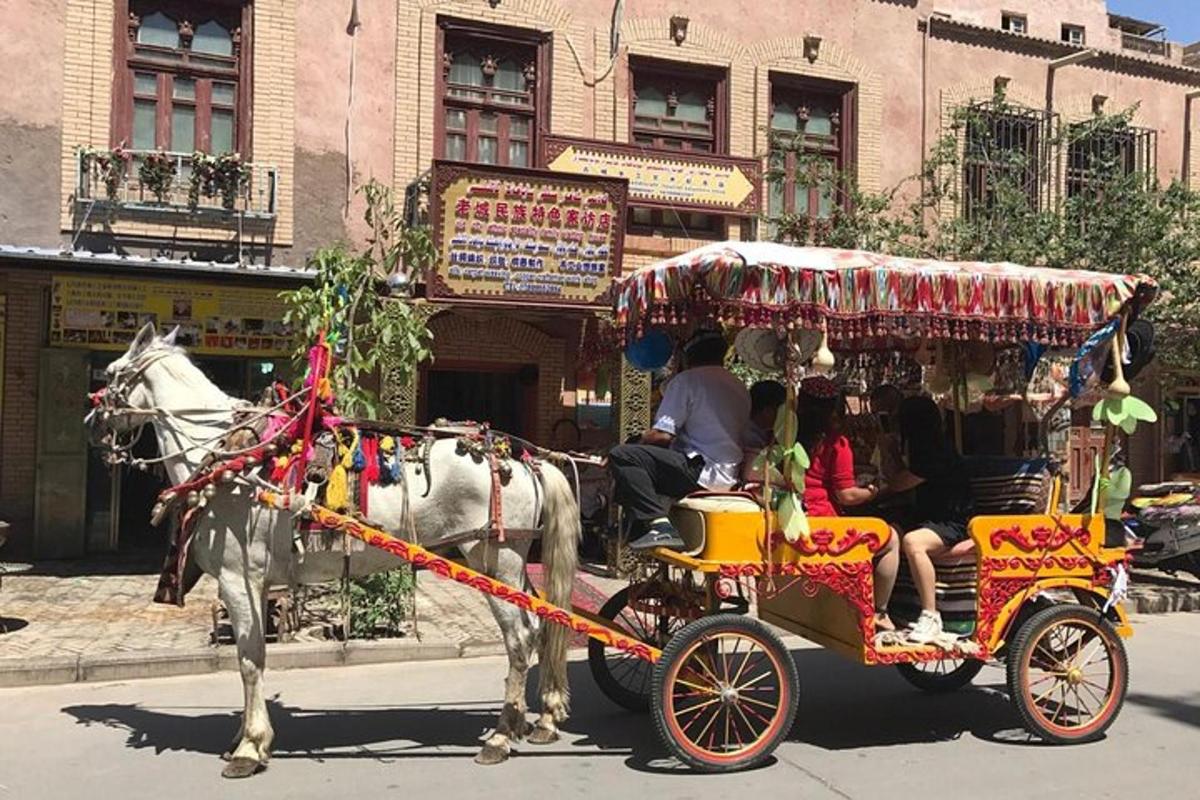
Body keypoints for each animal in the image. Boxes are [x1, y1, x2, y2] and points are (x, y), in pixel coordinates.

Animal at [87, 323, 578, 777]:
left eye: (109, 374)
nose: (92, 427)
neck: (232, 459)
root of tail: (523, 460)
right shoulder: (253, 583)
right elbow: (253, 657)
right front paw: (244, 738)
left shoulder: (238, 578)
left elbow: (249, 660)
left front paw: (250, 747)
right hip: (510, 563)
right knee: (541, 626)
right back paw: (536, 721)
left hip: (494, 559)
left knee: (520, 637)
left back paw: (501, 735)